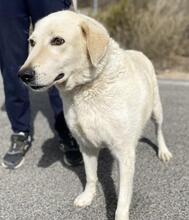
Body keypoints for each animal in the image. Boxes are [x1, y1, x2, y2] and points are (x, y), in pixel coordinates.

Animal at [19, 10, 173, 220]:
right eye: (32, 42)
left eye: (58, 41)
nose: (23, 75)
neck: (86, 89)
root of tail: (137, 51)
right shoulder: (86, 145)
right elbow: (91, 176)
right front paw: (87, 197)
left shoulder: (124, 154)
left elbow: (122, 199)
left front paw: (120, 216)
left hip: (156, 110)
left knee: (159, 130)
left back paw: (163, 151)